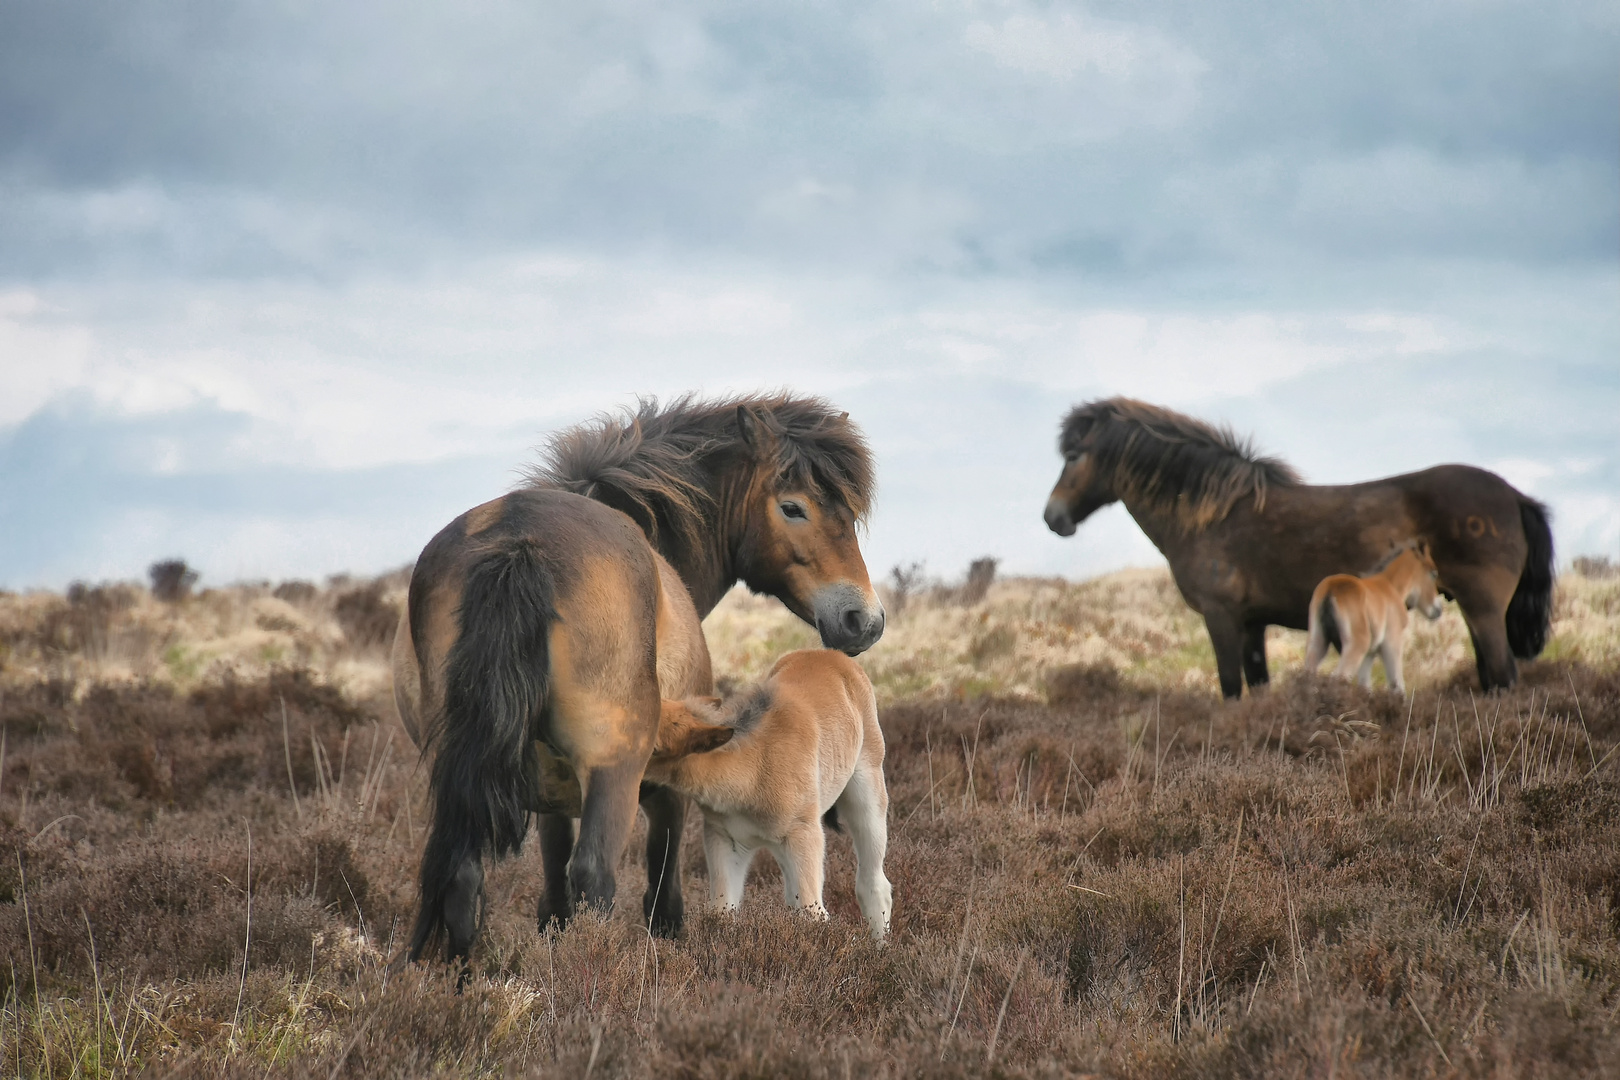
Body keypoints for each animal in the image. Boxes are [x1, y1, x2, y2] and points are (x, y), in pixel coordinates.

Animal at [401, 395, 887, 965]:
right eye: (793, 507)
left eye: (849, 514)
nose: (864, 620)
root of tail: (520, 541)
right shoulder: (668, 793)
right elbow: (663, 898)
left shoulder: (551, 797)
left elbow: (551, 896)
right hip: (615, 773)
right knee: (594, 877)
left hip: (460, 776)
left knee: (463, 877)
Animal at [1043, 401, 1548, 696]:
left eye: (1073, 456)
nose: (1053, 518)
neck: (1214, 514)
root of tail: (1514, 496)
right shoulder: (1251, 625)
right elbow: (1257, 688)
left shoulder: (1222, 618)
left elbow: (1230, 689)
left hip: (1483, 610)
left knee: (1504, 677)